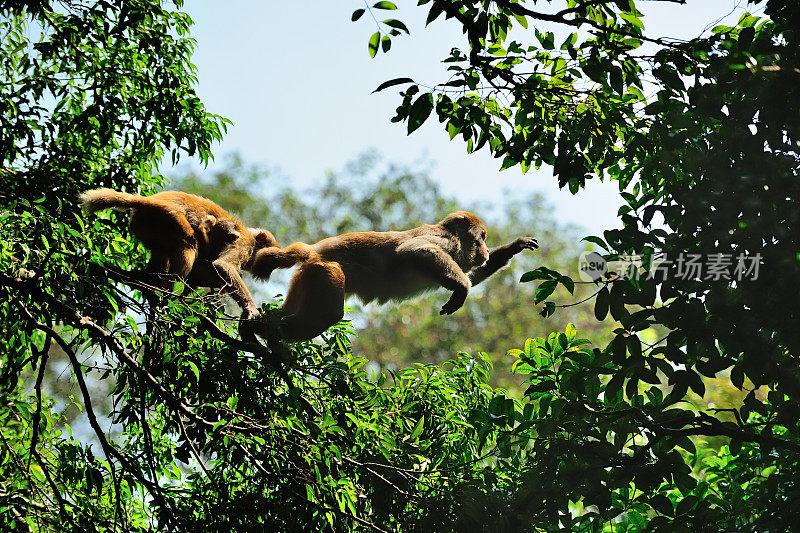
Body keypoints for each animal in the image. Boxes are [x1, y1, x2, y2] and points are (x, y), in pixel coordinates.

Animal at [250, 211, 536, 340]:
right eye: (482, 238)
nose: (486, 250)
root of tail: (313, 251)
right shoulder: (444, 241)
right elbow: (415, 250)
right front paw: (462, 289)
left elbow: (473, 275)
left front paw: (514, 246)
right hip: (323, 270)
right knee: (328, 313)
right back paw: (268, 331)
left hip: (306, 276)